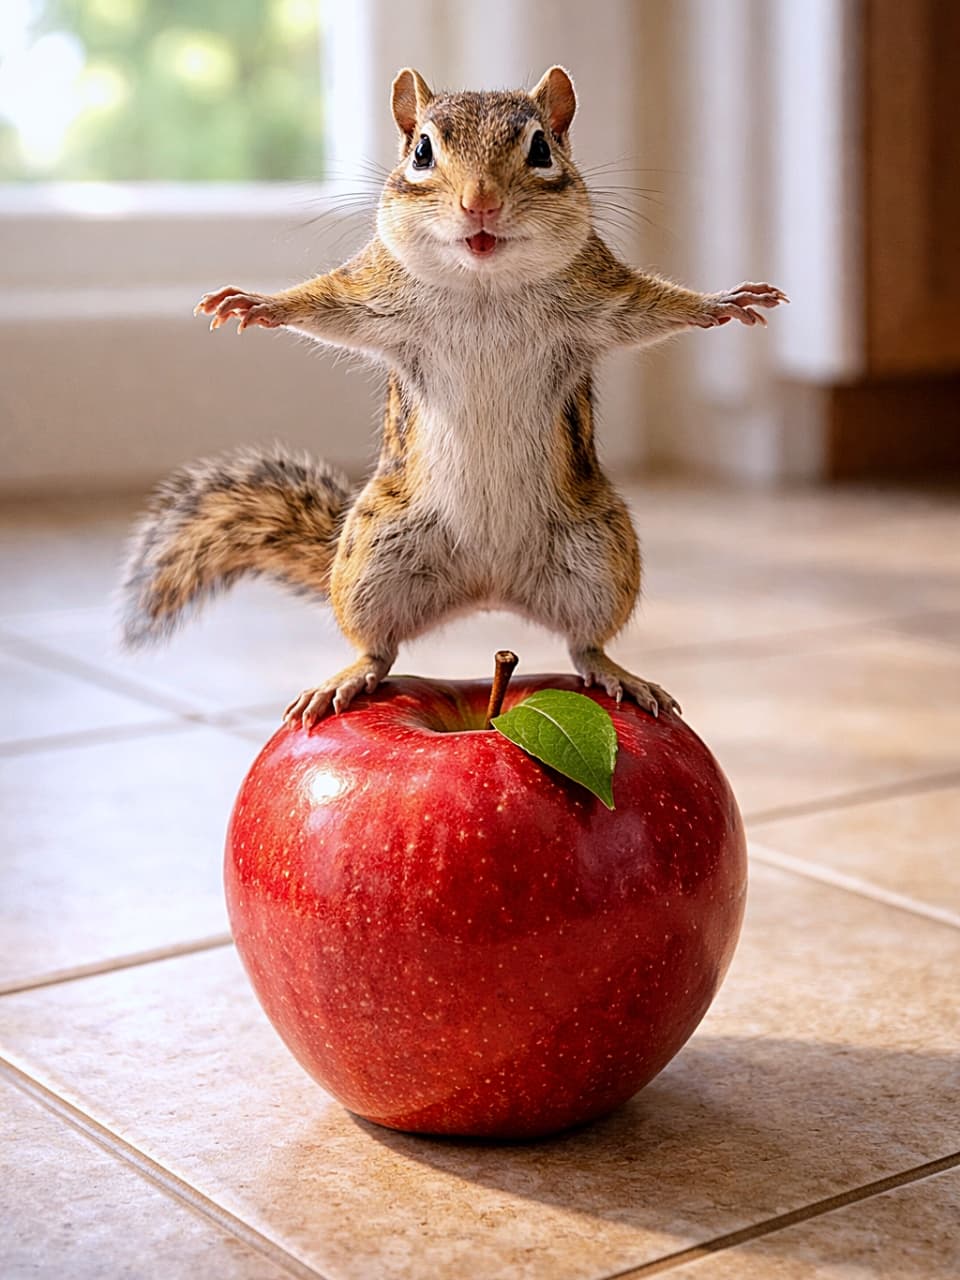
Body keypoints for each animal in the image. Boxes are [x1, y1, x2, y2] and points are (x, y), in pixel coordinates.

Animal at [121, 66, 787, 728]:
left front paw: (724, 303)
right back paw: (348, 678)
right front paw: (257, 304)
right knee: (379, 647)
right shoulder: (370, 292)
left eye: (541, 149)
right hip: (372, 560)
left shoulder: (605, 296)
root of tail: (488, 587)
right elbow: (322, 305)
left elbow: (656, 308)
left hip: (601, 555)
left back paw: (617, 672)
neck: (484, 284)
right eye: (422, 151)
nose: (480, 203)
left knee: (585, 643)